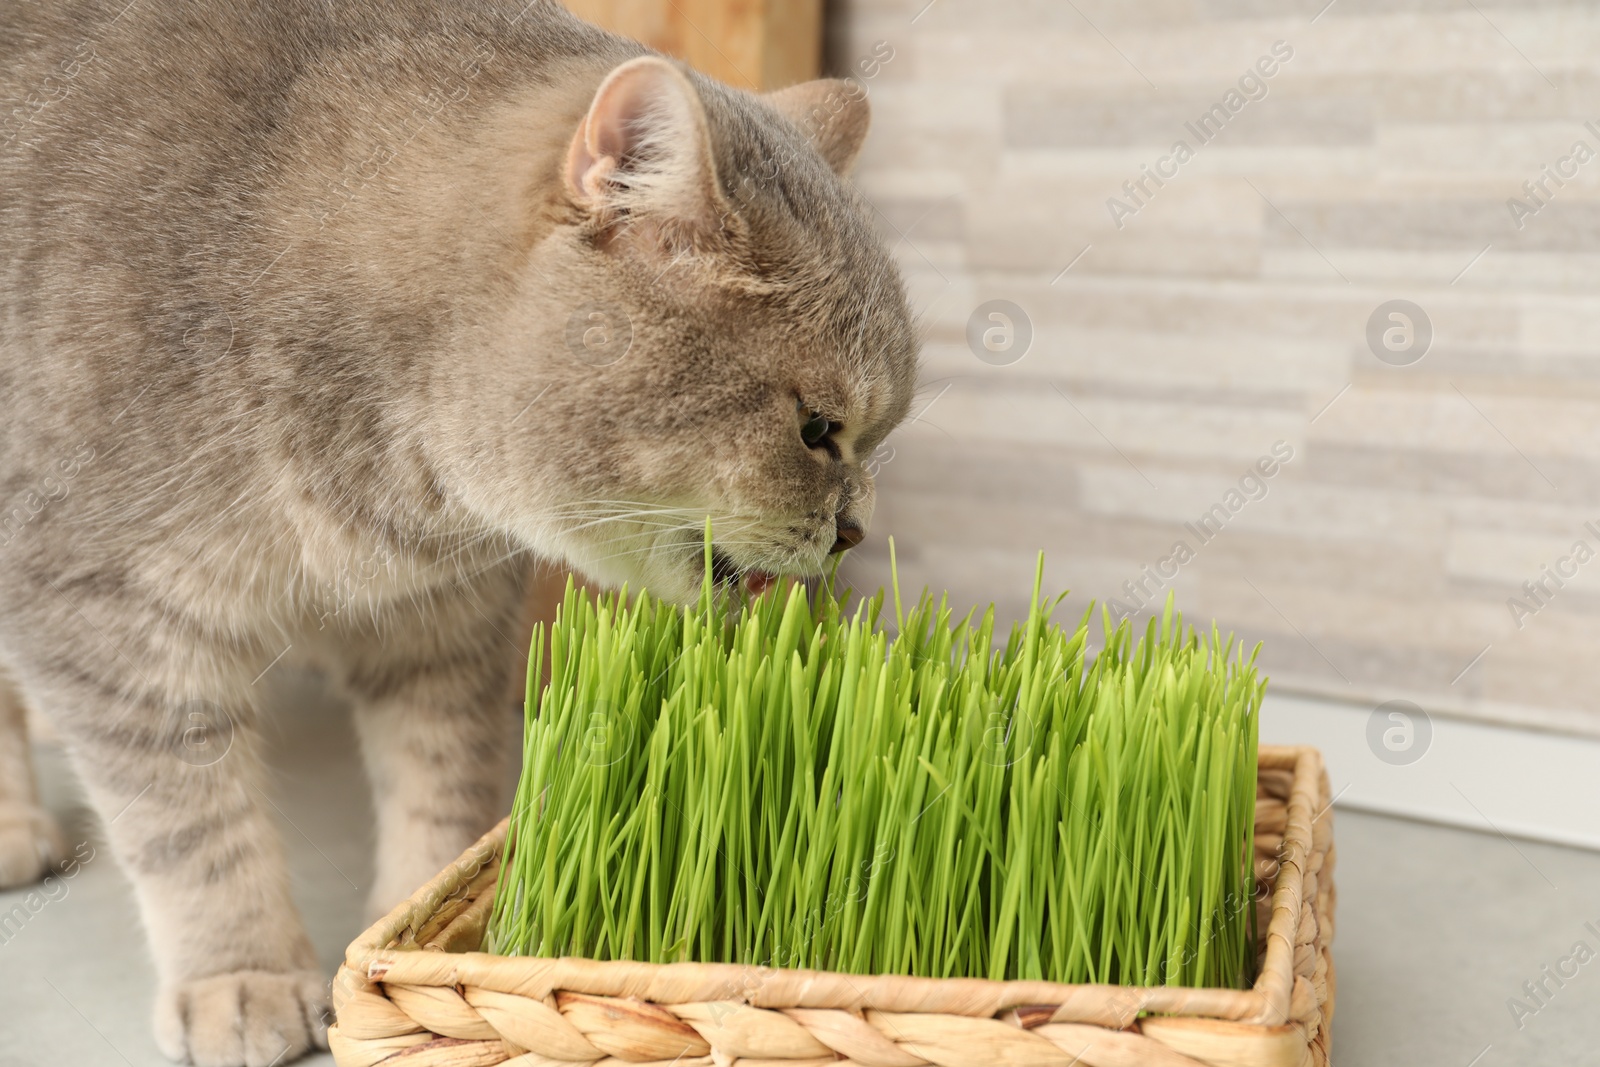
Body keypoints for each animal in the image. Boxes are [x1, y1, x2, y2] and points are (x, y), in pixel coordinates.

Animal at [0, 2, 921, 1062]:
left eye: (870, 434)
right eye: (816, 429)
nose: (855, 529)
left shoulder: (443, 615)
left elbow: (440, 779)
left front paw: (419, 934)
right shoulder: (95, 609)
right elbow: (191, 827)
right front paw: (240, 975)